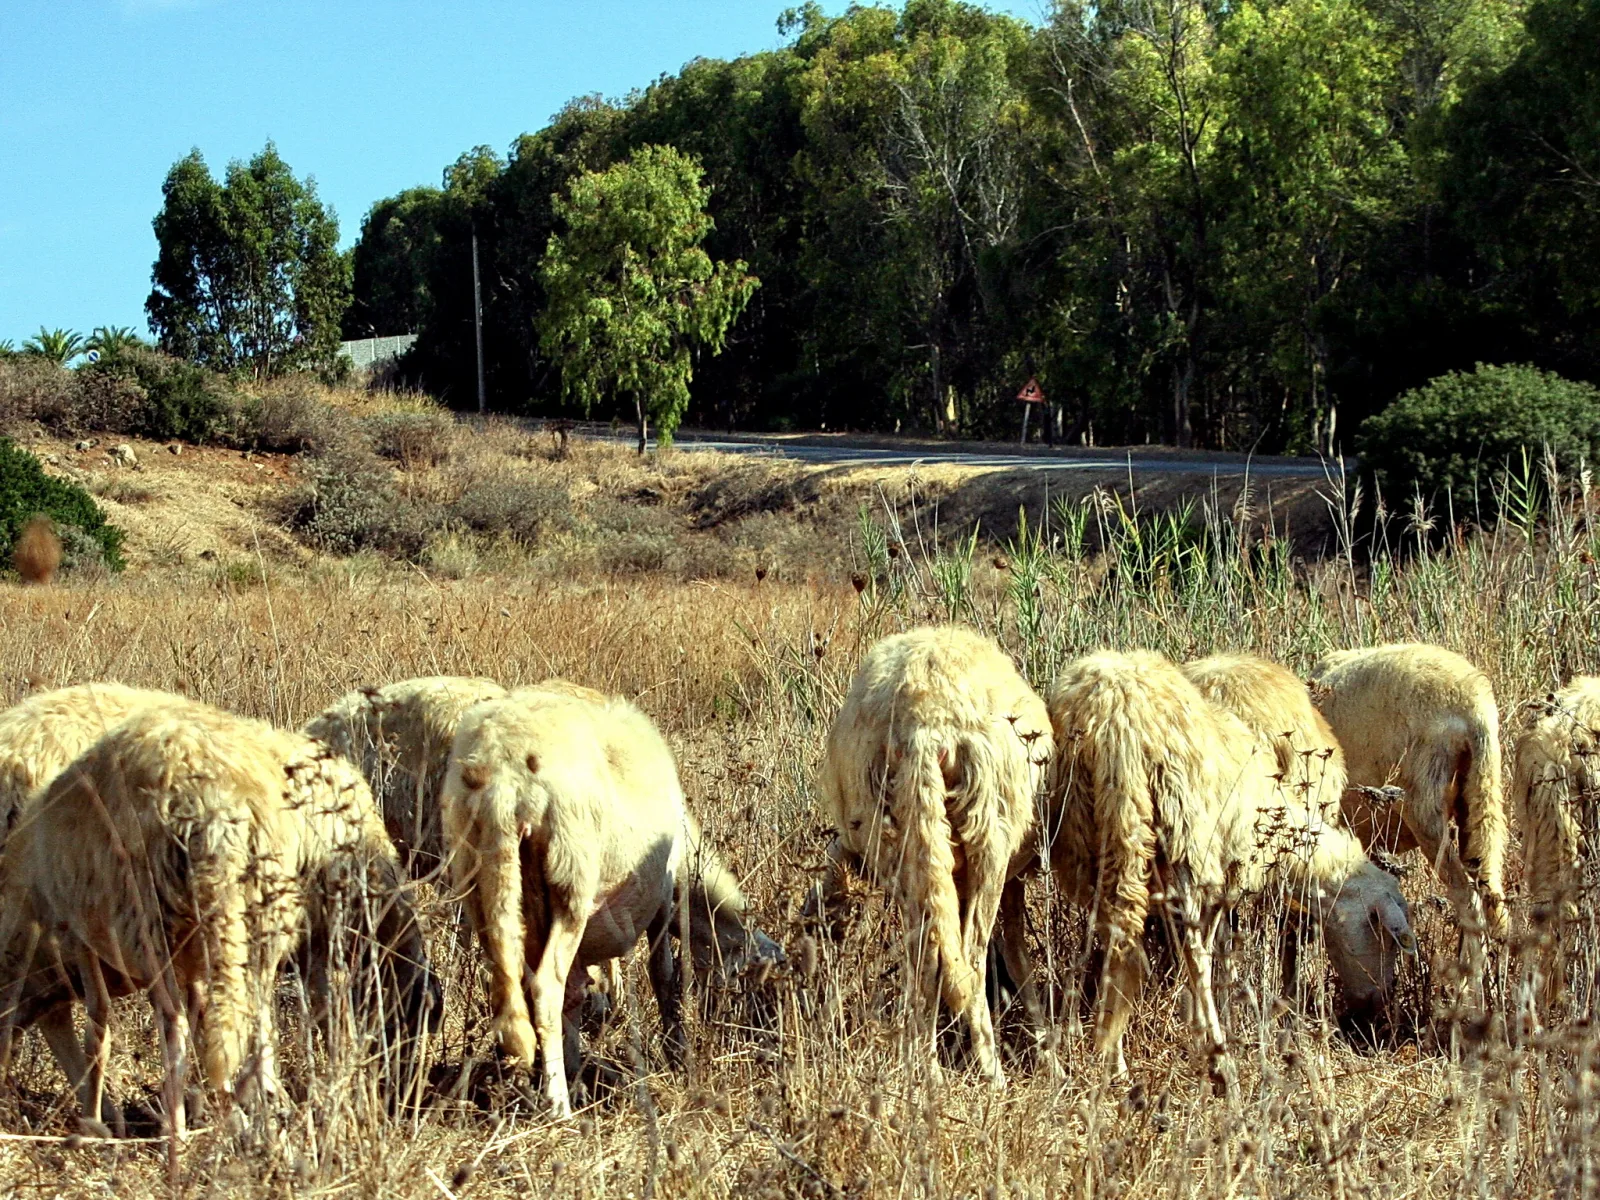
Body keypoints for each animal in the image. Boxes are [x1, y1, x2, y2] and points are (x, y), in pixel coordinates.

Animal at [441, 684, 781, 1119]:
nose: (761, 1037)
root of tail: (503, 769)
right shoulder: (663, 894)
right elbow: (662, 973)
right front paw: (676, 1053)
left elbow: (575, 995)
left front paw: (574, 1065)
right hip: (571, 876)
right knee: (545, 988)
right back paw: (558, 1106)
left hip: (483, 880)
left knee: (510, 991)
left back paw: (525, 1084)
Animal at [816, 626, 1051, 1089]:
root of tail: (924, 724)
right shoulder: (1010, 880)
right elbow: (1016, 955)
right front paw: (1047, 1051)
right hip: (989, 837)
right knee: (972, 959)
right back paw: (992, 1075)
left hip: (903, 846)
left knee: (926, 959)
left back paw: (925, 1070)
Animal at [1019, 649, 1414, 1078]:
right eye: (1385, 936)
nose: (1373, 1009)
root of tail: (1114, 718)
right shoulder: (1228, 867)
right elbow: (1222, 949)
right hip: (1185, 836)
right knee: (1189, 951)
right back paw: (1210, 1048)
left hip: (1088, 836)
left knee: (1113, 941)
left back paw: (1100, 1048)